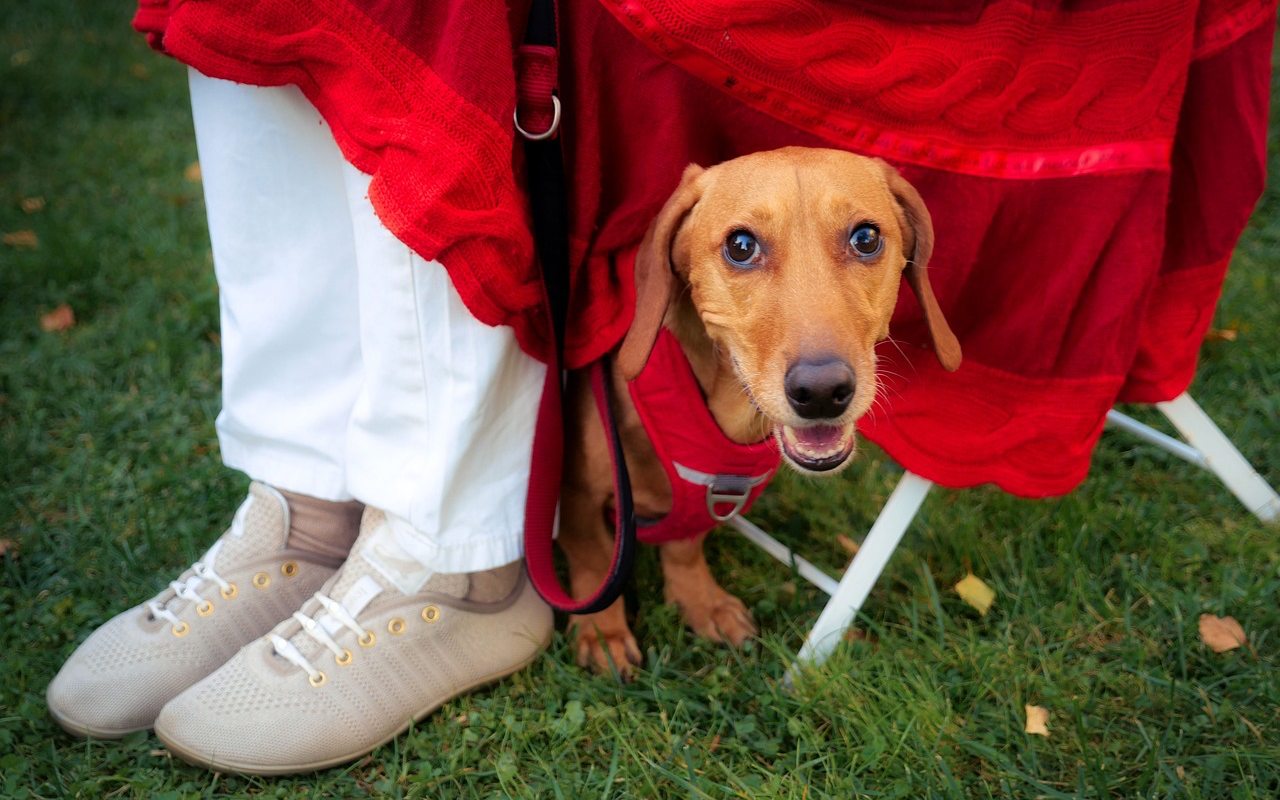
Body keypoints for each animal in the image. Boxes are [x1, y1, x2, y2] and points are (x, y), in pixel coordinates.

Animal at [560, 145, 962, 675]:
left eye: (867, 238)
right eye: (741, 246)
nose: (821, 391)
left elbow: (685, 546)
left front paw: (700, 601)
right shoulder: (575, 493)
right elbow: (593, 561)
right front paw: (603, 632)